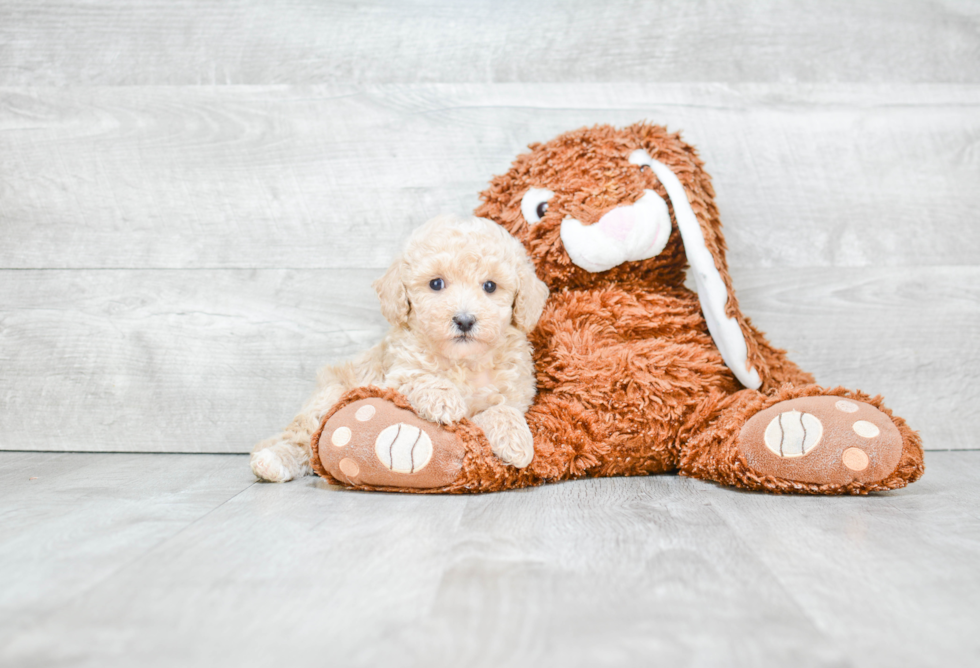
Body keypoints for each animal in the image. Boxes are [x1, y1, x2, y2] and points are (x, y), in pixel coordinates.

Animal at [249, 217, 548, 482]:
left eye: (490, 286)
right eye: (436, 283)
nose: (464, 320)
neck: (463, 362)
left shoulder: (513, 393)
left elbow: (503, 409)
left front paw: (516, 441)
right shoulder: (395, 376)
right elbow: (419, 377)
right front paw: (444, 400)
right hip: (328, 396)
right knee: (302, 439)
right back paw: (272, 461)